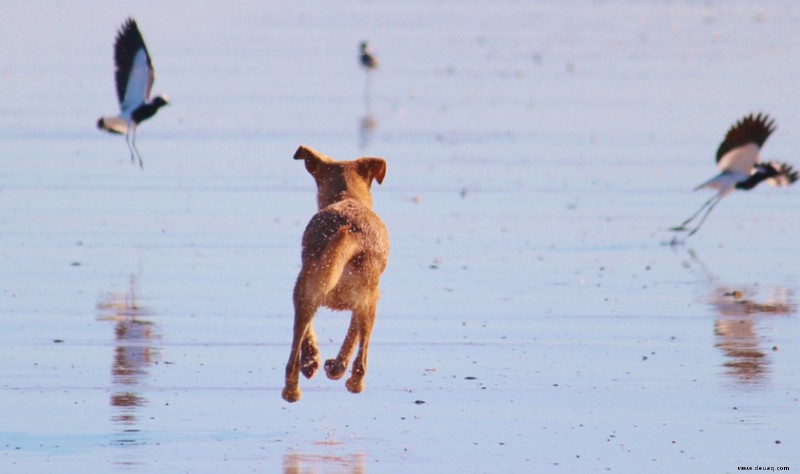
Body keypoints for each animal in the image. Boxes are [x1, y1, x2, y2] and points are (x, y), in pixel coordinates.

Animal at [282, 145, 390, 404]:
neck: (346, 197)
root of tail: (351, 233)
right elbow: (352, 335)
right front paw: (333, 366)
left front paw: (318, 362)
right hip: (365, 299)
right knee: (362, 358)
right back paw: (352, 382)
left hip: (309, 287)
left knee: (293, 357)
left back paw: (296, 385)